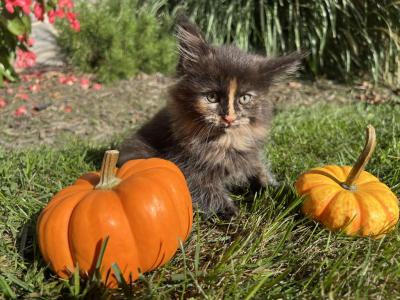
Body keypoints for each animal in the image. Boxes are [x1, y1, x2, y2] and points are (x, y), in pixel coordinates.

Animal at [119, 17, 304, 218]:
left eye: (245, 98)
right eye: (212, 97)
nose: (229, 118)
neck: (226, 142)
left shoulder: (251, 156)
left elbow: (260, 172)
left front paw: (284, 191)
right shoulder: (183, 164)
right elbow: (206, 191)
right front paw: (232, 213)